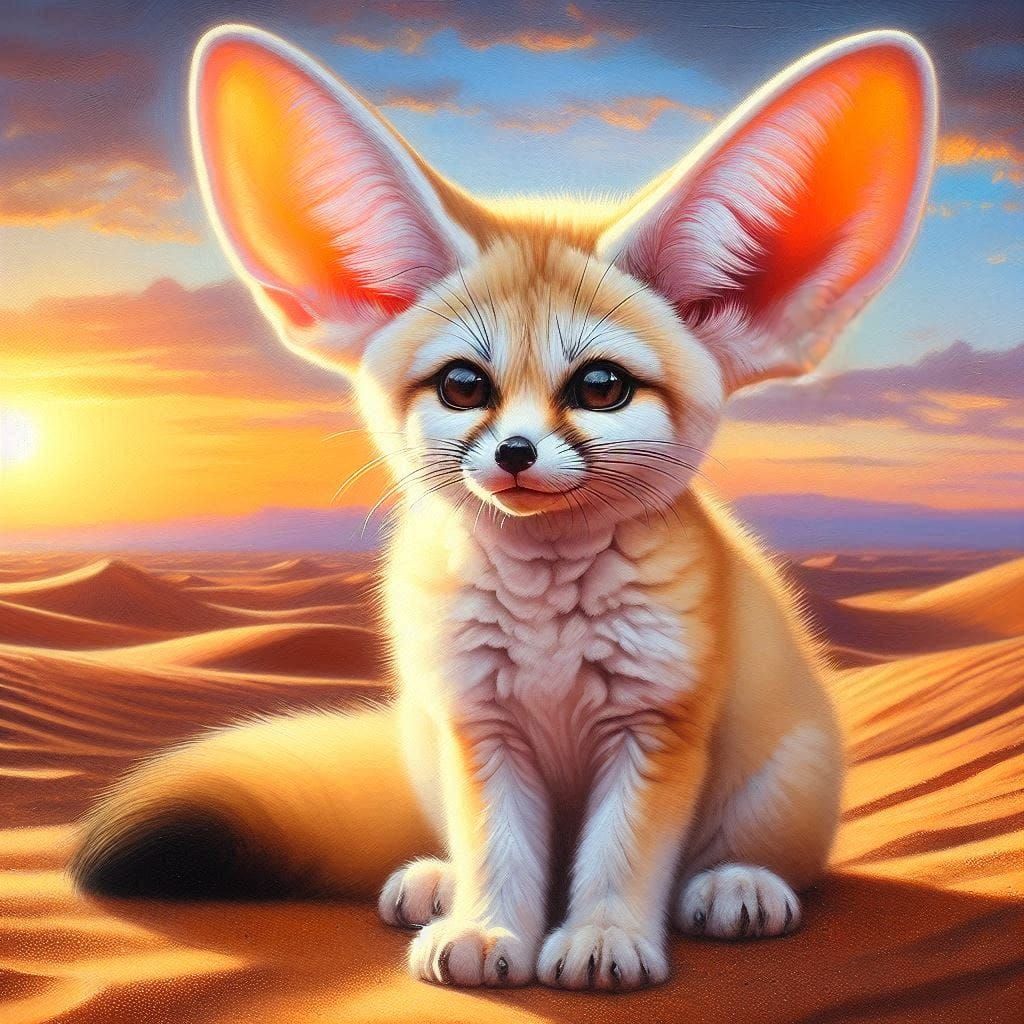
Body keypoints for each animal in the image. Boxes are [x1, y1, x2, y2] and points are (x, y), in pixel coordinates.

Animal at [72, 25, 936, 991]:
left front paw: (602, 938)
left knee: (761, 858)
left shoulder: (655, 725)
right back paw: (438, 884)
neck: (545, 610)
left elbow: (622, 854)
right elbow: (500, 848)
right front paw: (487, 931)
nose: (515, 453)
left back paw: (736, 886)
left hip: (786, 776)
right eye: (462, 386)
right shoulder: (479, 728)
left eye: (600, 387)